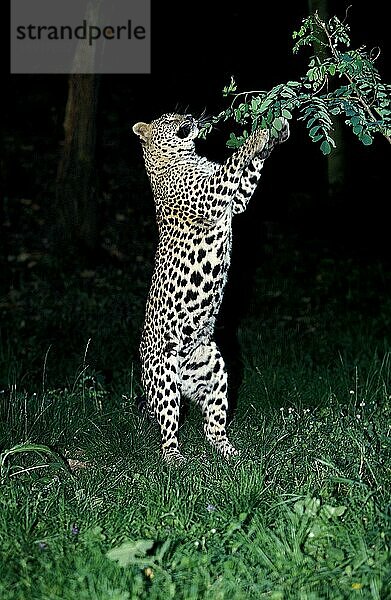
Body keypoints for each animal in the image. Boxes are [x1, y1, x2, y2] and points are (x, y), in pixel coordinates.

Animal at [133, 112, 290, 462]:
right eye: (169, 118)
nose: (190, 117)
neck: (185, 157)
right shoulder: (212, 193)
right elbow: (233, 162)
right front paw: (257, 136)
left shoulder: (236, 201)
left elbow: (247, 174)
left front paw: (273, 131)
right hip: (164, 380)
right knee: (168, 426)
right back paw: (174, 459)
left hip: (215, 371)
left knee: (212, 426)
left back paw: (229, 452)